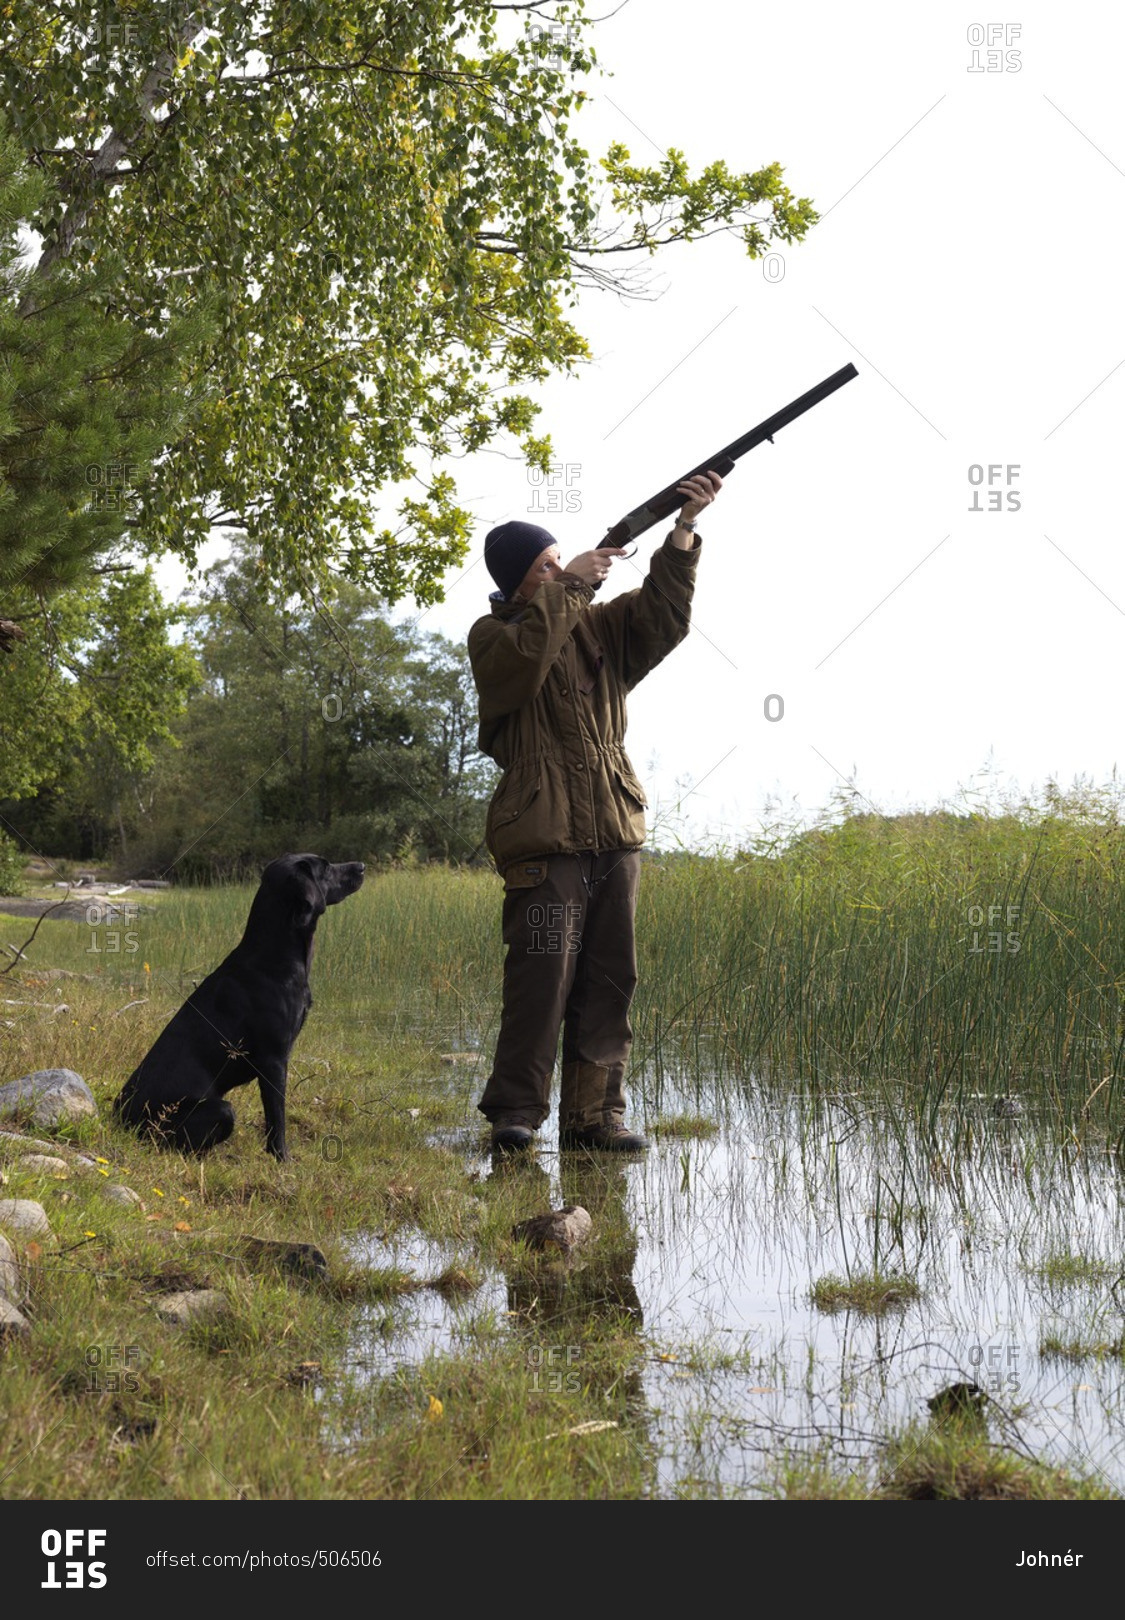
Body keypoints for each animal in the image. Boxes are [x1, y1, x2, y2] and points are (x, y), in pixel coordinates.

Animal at [113, 855, 366, 1159]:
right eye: (325, 868)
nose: (362, 866)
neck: (273, 957)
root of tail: (120, 1119)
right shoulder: (273, 1060)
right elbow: (276, 1118)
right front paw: (281, 1157)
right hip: (218, 1110)